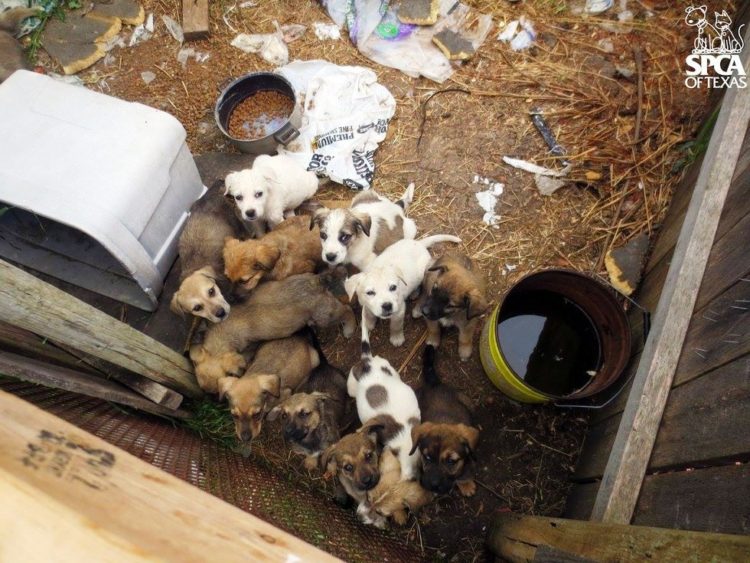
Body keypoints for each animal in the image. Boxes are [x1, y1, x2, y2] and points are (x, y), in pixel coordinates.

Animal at [268, 330, 354, 472]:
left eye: (304, 413)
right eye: (284, 415)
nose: (287, 432)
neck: (310, 440)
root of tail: (323, 365)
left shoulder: (333, 444)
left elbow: (332, 459)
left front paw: (331, 471)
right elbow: (311, 455)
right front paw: (311, 463)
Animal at [412, 346, 482, 496]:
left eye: (451, 461)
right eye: (427, 458)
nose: (433, 485)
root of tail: (434, 383)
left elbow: (464, 473)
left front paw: (466, 484)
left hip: (467, 401)